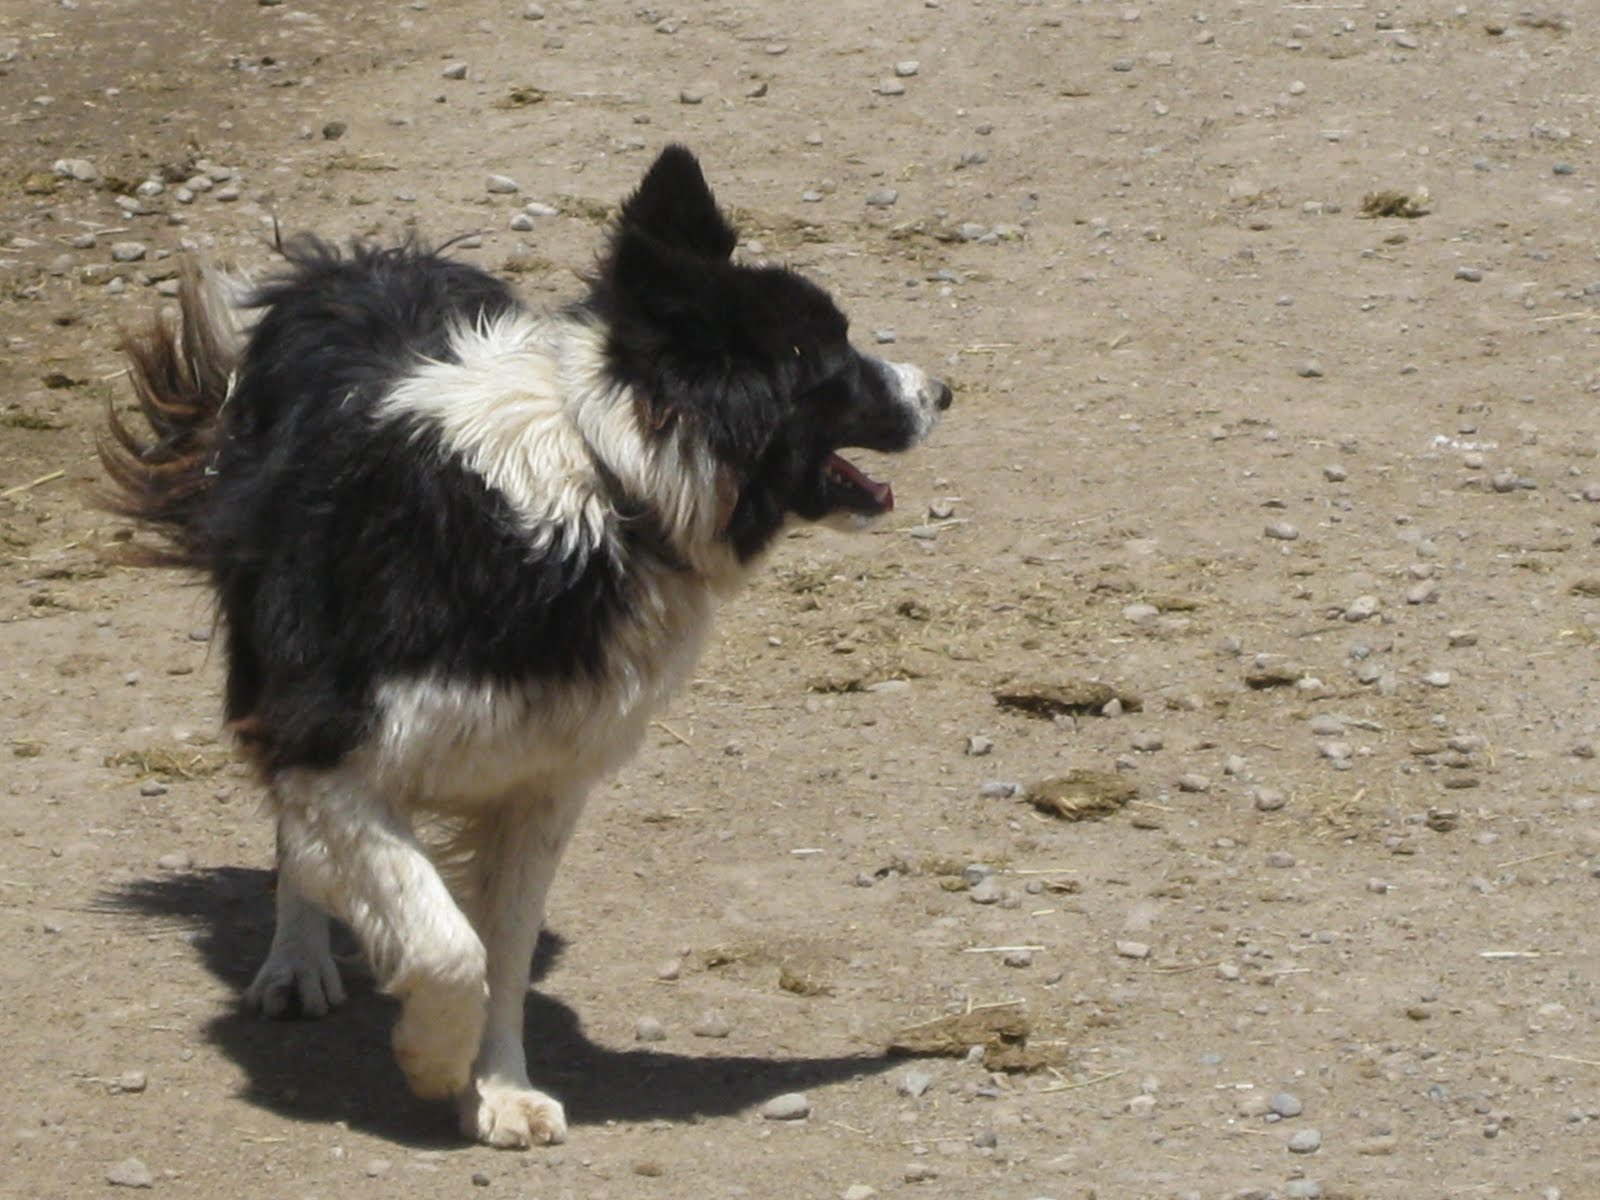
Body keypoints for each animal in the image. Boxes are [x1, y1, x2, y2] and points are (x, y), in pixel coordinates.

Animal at [103, 145, 947, 1152]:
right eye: (836, 359)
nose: (943, 391)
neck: (605, 490)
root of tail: (347, 267)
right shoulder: (329, 739)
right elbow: (444, 943)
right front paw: (431, 1058)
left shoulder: (542, 777)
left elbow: (500, 949)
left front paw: (498, 1088)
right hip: (269, 659)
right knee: (294, 838)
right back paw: (297, 961)